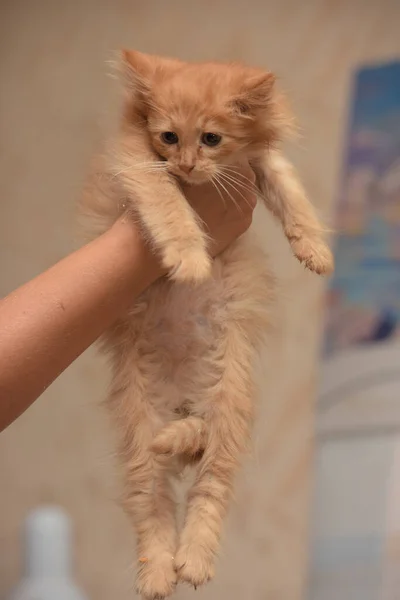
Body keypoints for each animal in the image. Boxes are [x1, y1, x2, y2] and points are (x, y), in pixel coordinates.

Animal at [79, 51, 332, 600]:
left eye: (212, 138)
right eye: (169, 137)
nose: (188, 165)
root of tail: (180, 404)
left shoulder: (260, 160)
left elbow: (290, 191)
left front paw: (315, 249)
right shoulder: (140, 162)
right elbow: (169, 204)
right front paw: (190, 257)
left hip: (228, 403)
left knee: (208, 485)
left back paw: (191, 558)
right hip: (141, 430)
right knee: (152, 505)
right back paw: (159, 572)